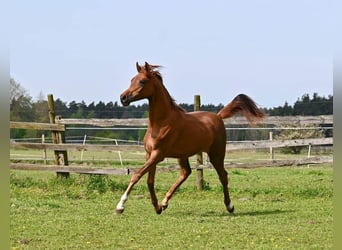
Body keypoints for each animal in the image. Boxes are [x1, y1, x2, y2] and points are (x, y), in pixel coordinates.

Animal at [115, 61, 264, 214]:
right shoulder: (149, 154)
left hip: (216, 154)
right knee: (186, 173)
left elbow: (136, 175)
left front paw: (120, 206)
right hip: (183, 155)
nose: (123, 98)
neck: (161, 122)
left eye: (142, 81)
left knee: (223, 175)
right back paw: (164, 203)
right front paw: (157, 208)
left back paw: (230, 206)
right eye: (131, 80)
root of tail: (218, 116)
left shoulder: (158, 155)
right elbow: (150, 181)